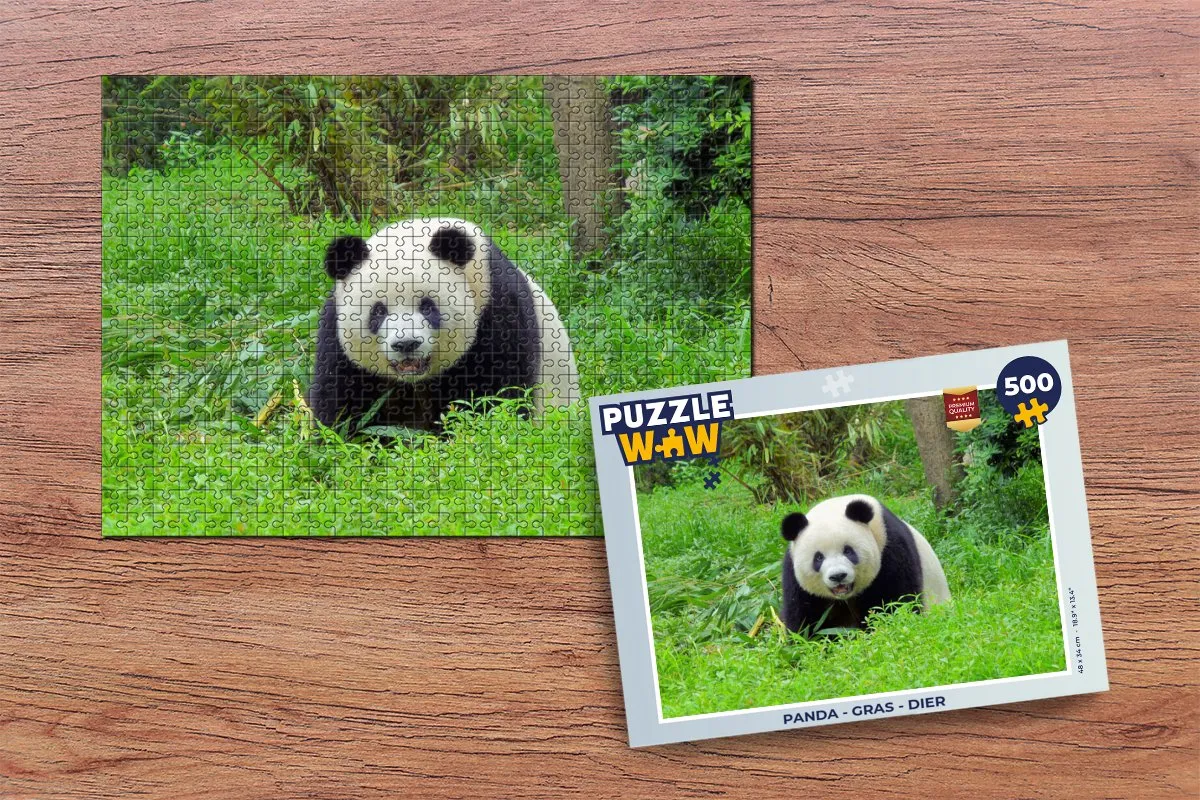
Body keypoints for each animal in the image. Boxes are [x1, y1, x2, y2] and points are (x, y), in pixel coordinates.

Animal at [307, 217, 579, 432]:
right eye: (378, 312)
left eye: (427, 307)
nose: (406, 344)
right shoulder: (336, 332)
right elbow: (342, 403)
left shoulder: (498, 309)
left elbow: (497, 394)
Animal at [780, 494, 950, 635]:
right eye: (818, 558)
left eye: (848, 551)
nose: (838, 576)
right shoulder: (794, 574)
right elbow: (805, 617)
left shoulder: (891, 548)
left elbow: (898, 600)